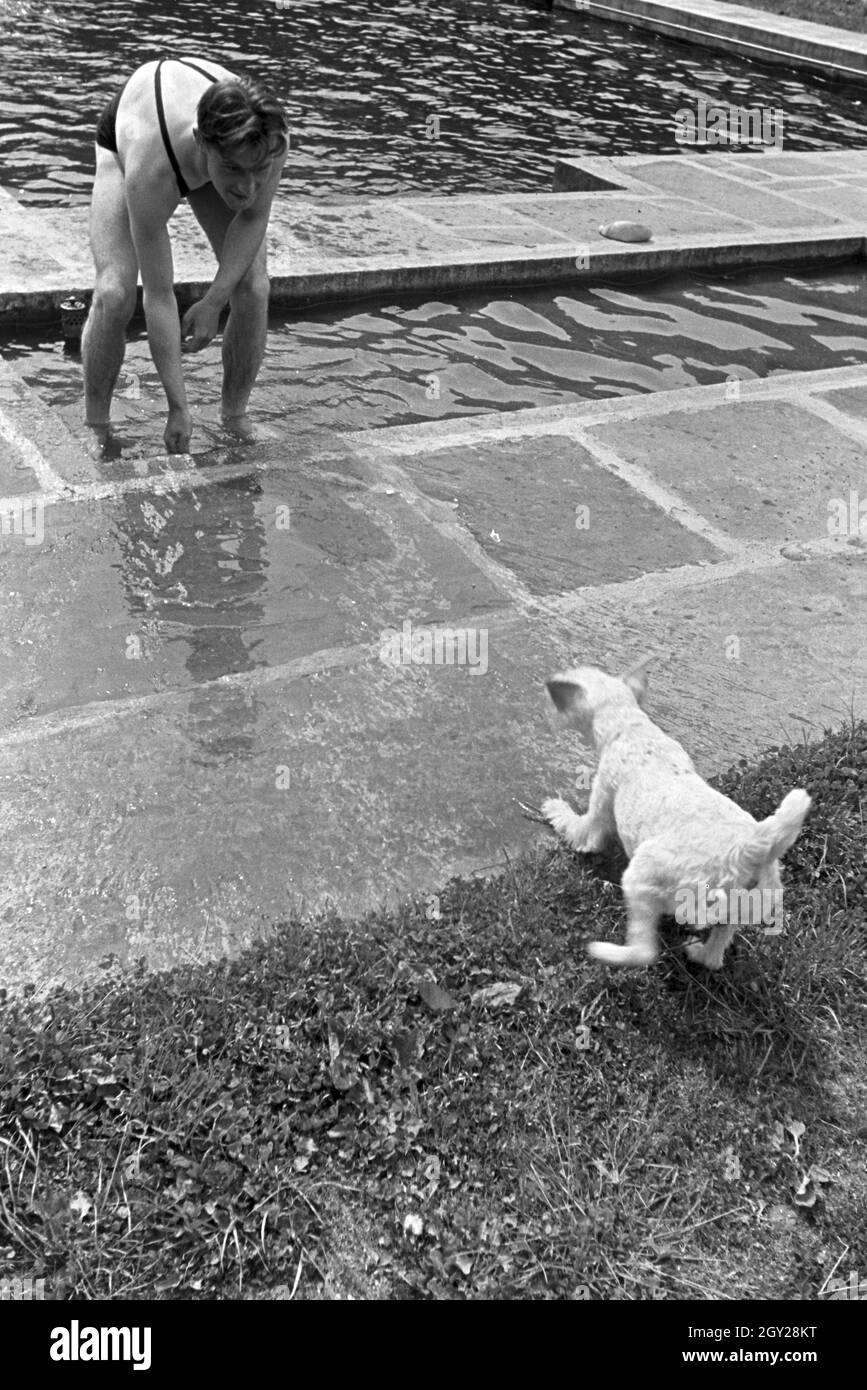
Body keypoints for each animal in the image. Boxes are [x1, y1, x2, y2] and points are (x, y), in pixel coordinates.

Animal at [541, 667, 811, 973]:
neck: (631, 727)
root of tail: (750, 850)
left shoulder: (599, 807)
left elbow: (581, 829)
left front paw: (555, 809)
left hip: (645, 875)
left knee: (644, 951)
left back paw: (608, 952)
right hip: (743, 907)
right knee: (714, 955)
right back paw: (698, 951)